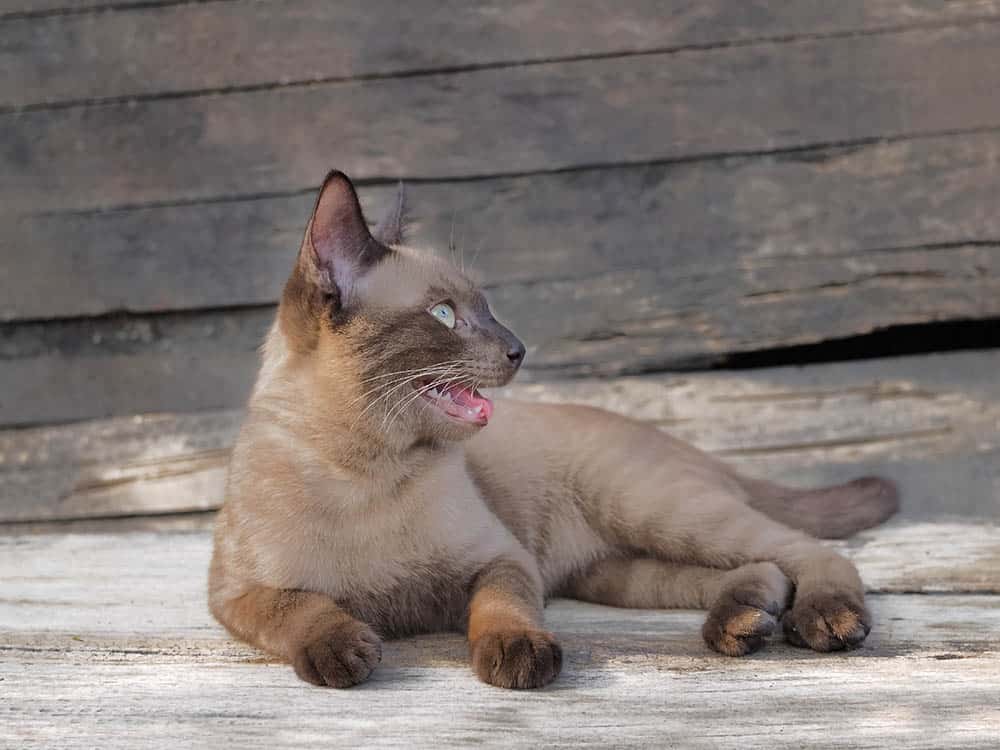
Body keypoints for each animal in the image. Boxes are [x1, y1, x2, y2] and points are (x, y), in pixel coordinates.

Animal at [209, 173, 900, 692]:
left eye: (486, 309)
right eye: (445, 315)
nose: (518, 348)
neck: (367, 470)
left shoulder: (502, 561)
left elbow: (502, 610)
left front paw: (520, 657)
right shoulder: (234, 595)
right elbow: (297, 607)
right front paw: (344, 650)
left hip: (653, 513)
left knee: (812, 551)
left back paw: (824, 622)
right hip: (619, 572)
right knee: (759, 567)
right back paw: (743, 624)